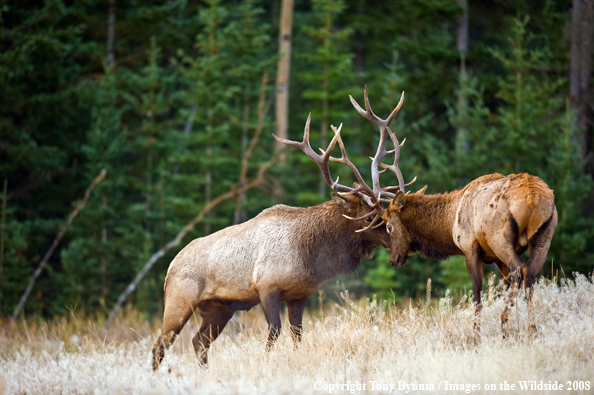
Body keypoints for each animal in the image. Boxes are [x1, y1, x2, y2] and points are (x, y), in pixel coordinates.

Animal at [150, 88, 410, 372]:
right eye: (369, 218)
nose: (401, 250)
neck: (310, 255)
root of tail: (170, 265)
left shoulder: (299, 295)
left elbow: (297, 334)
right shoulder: (266, 287)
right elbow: (274, 332)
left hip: (219, 309)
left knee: (198, 342)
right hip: (179, 299)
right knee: (160, 345)